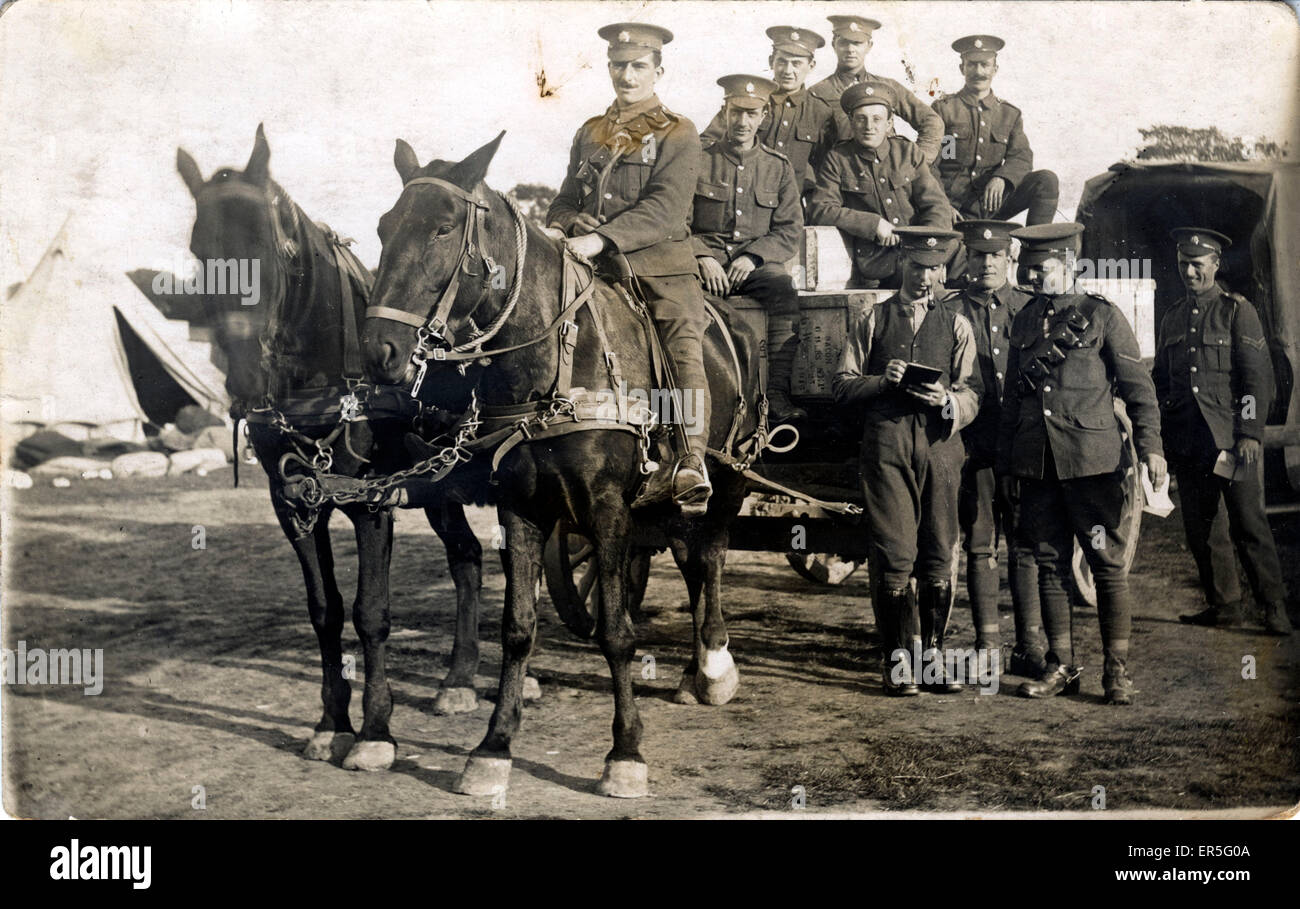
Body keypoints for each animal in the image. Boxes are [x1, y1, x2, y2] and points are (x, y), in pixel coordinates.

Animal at [172, 124, 496, 769]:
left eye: (272, 250)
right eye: (199, 250)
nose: (245, 379)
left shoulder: (371, 502)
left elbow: (370, 613)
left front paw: (375, 730)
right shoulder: (293, 502)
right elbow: (324, 610)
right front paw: (331, 722)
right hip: (440, 484)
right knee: (467, 558)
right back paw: (459, 679)